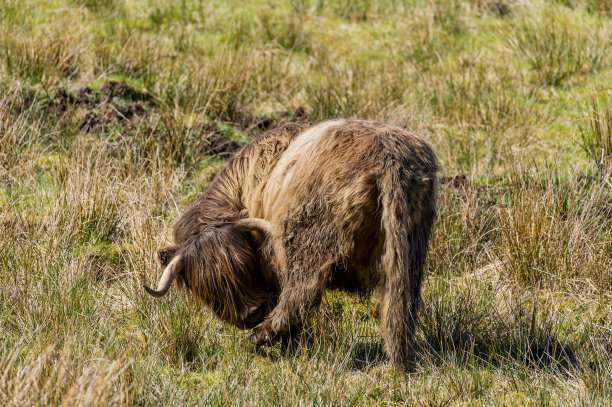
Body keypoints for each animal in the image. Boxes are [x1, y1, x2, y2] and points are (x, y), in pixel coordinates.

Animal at [145, 119, 438, 372]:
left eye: (244, 268)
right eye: (212, 289)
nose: (252, 314)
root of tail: (390, 158)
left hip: (307, 238)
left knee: (300, 294)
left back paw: (263, 336)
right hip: (410, 246)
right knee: (401, 303)